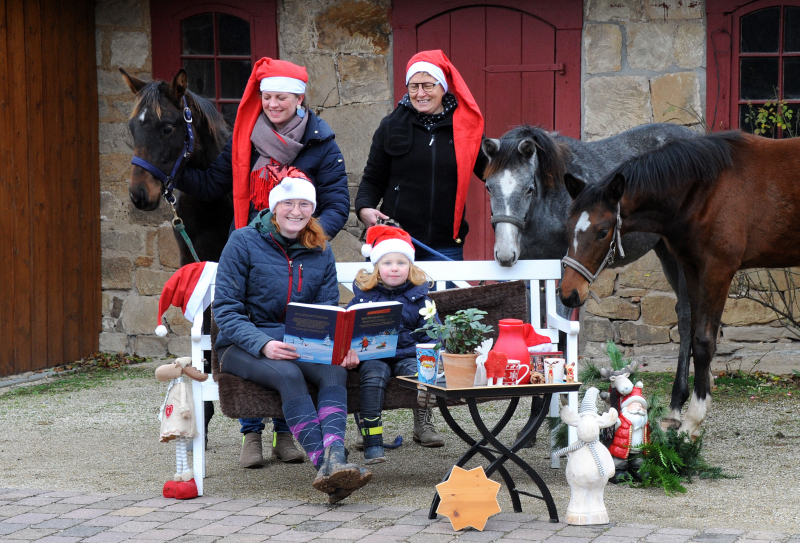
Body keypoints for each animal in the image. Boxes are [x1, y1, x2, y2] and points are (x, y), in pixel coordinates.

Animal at [482, 122, 700, 430]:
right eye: (489, 186)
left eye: (528, 189)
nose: (504, 255)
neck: (549, 202)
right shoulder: (533, 278)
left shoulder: (564, 277)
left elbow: (558, 337)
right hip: (665, 250)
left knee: (686, 316)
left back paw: (677, 403)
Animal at [556, 132, 800, 438]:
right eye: (567, 227)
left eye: (602, 232)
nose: (569, 294)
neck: (706, 191)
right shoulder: (692, 268)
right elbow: (692, 335)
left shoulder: (717, 269)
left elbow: (704, 341)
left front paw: (692, 420)